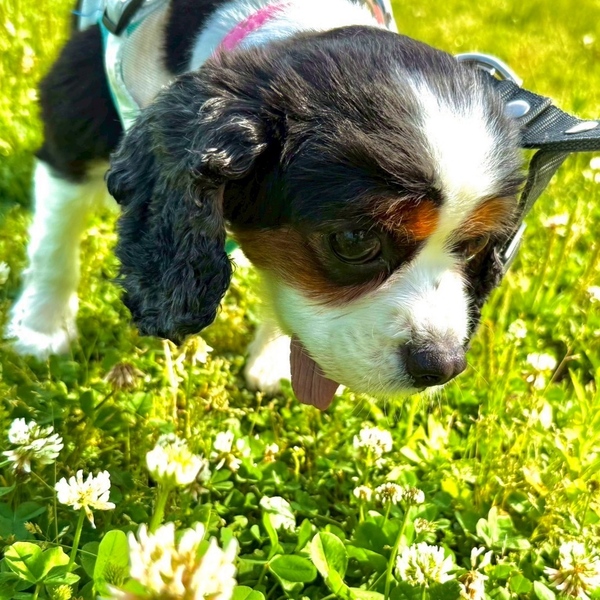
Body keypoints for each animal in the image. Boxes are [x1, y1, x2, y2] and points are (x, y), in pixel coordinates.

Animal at [7, 0, 524, 409]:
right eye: (354, 241)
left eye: (473, 246)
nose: (442, 365)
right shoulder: (74, 130)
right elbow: (55, 246)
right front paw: (40, 328)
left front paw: (272, 360)